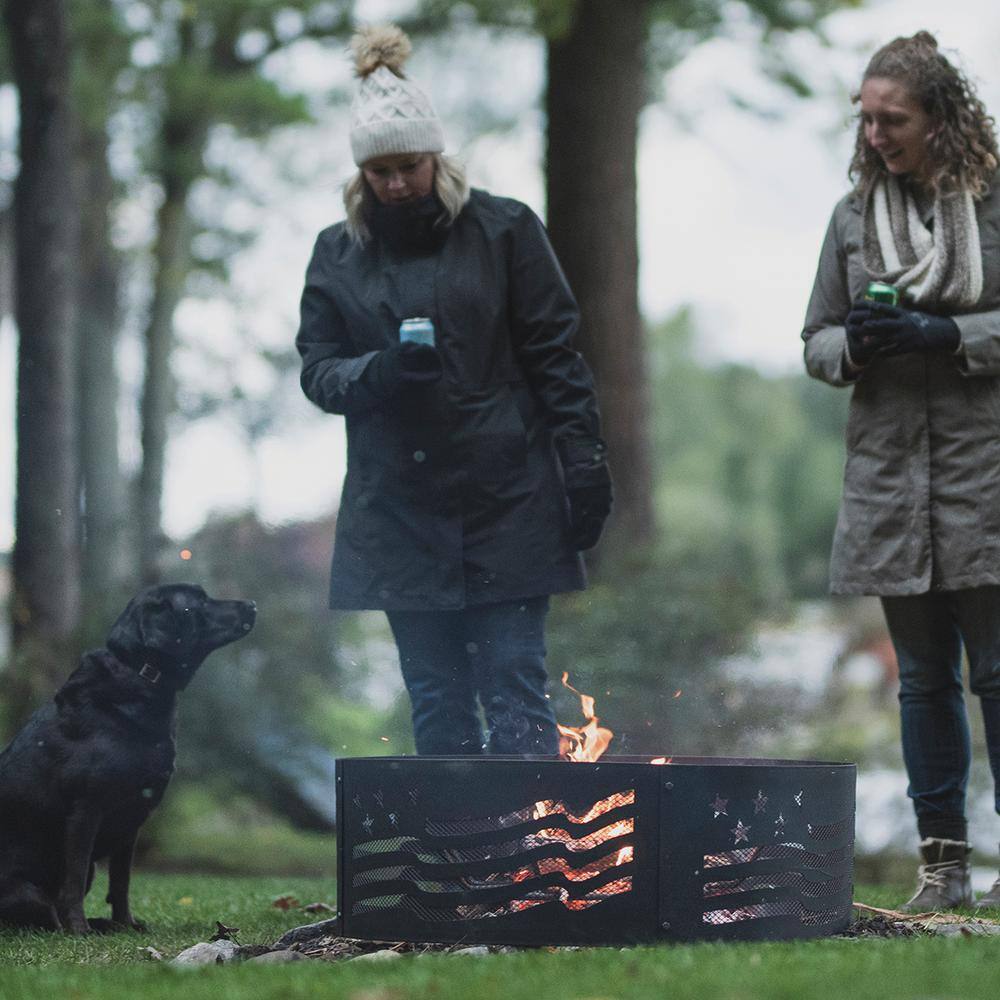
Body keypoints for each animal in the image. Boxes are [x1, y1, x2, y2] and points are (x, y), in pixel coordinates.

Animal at [0, 584, 256, 932]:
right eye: (200, 602)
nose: (252, 604)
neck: (141, 674)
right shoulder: (85, 810)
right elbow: (73, 880)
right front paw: (79, 930)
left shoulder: (132, 820)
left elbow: (121, 882)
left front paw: (126, 924)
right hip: (28, 889)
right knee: (46, 912)